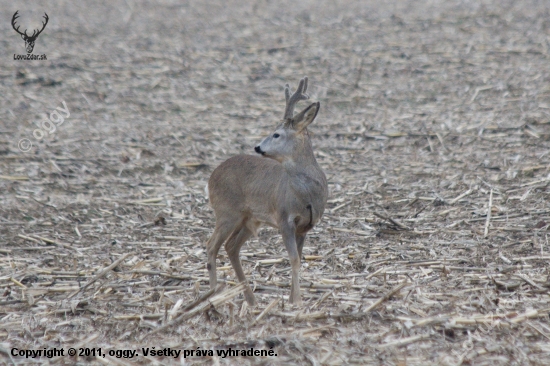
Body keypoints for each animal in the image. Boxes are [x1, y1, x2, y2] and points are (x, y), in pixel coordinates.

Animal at [207, 77, 328, 306]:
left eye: (276, 134)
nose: (257, 147)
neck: (307, 195)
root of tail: (212, 176)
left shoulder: (306, 226)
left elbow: (299, 258)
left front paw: (292, 298)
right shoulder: (284, 218)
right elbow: (294, 259)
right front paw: (296, 301)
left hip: (249, 219)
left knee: (231, 247)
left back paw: (251, 299)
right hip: (226, 212)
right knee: (211, 246)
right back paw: (212, 296)